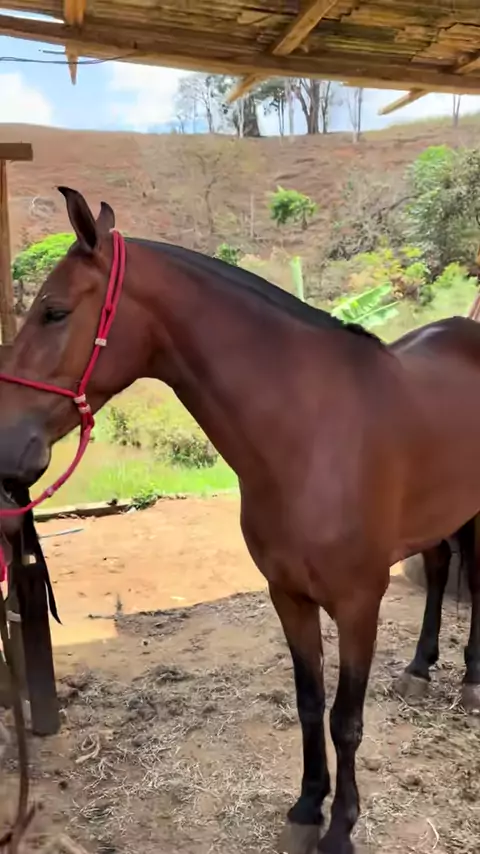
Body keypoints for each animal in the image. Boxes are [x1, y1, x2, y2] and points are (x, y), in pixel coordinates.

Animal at [0, 188, 480, 854]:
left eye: (53, 311)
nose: (4, 445)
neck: (312, 434)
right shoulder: (288, 596)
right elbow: (309, 702)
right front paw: (306, 808)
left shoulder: (359, 603)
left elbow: (347, 720)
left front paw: (341, 828)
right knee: (438, 569)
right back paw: (419, 668)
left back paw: (471, 681)